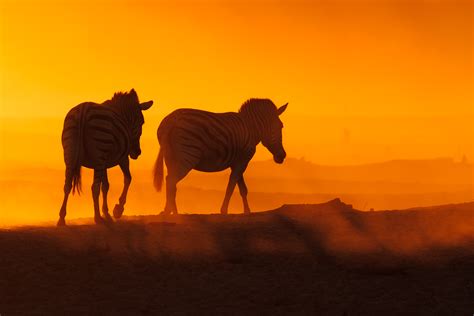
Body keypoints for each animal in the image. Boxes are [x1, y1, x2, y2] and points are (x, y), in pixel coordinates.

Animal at [57, 90, 153, 226]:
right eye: (141, 122)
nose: (137, 152)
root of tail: (83, 111)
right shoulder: (122, 158)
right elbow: (127, 179)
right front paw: (117, 210)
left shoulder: (104, 163)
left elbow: (106, 186)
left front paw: (107, 213)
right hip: (99, 152)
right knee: (94, 187)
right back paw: (97, 218)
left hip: (70, 155)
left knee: (67, 185)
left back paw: (61, 218)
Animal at [154, 99, 286, 216]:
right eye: (281, 126)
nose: (283, 156)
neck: (251, 128)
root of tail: (171, 121)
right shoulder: (242, 161)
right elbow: (231, 186)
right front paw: (224, 210)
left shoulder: (237, 162)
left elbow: (242, 189)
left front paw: (247, 211)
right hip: (188, 155)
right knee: (171, 180)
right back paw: (173, 212)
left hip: (171, 157)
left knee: (171, 182)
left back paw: (170, 211)